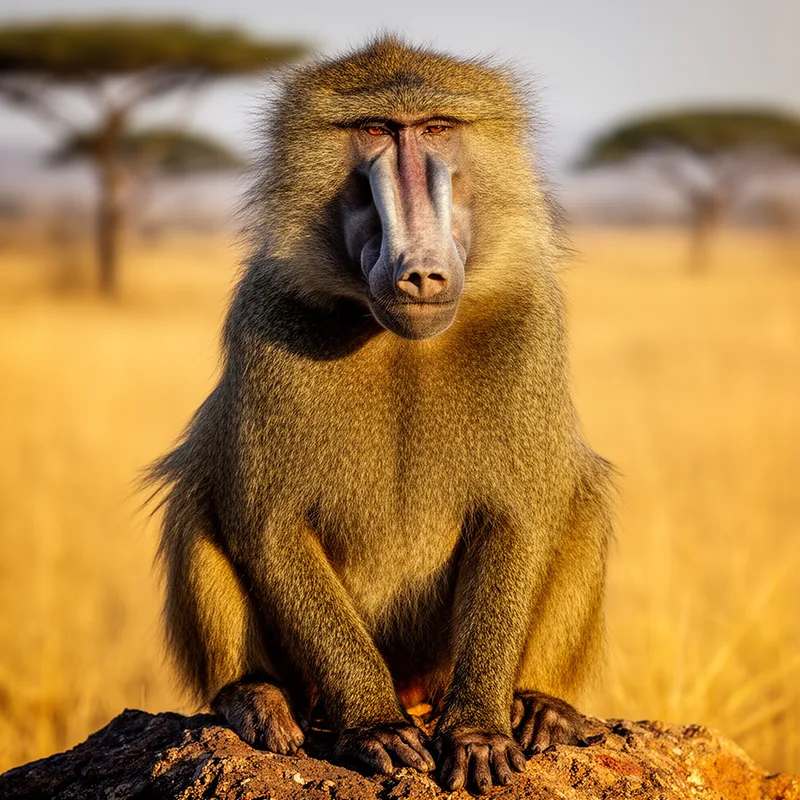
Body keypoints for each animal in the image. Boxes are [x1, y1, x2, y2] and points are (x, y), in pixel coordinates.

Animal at [147, 37, 613, 795]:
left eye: (437, 128)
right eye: (373, 131)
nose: (420, 272)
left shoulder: (530, 323)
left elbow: (520, 520)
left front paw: (479, 731)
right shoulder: (264, 317)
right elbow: (268, 526)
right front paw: (374, 726)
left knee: (584, 502)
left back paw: (543, 707)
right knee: (198, 496)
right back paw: (255, 696)